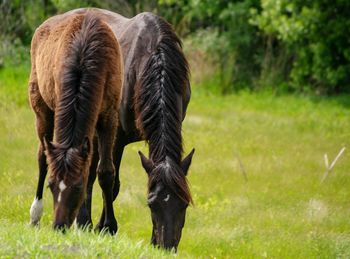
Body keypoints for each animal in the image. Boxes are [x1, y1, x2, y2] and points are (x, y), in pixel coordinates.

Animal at [29, 11, 124, 234]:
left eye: (78, 186)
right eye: (51, 185)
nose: (59, 225)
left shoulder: (109, 117)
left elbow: (105, 171)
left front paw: (108, 226)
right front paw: (84, 222)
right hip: (42, 111)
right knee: (42, 156)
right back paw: (35, 214)